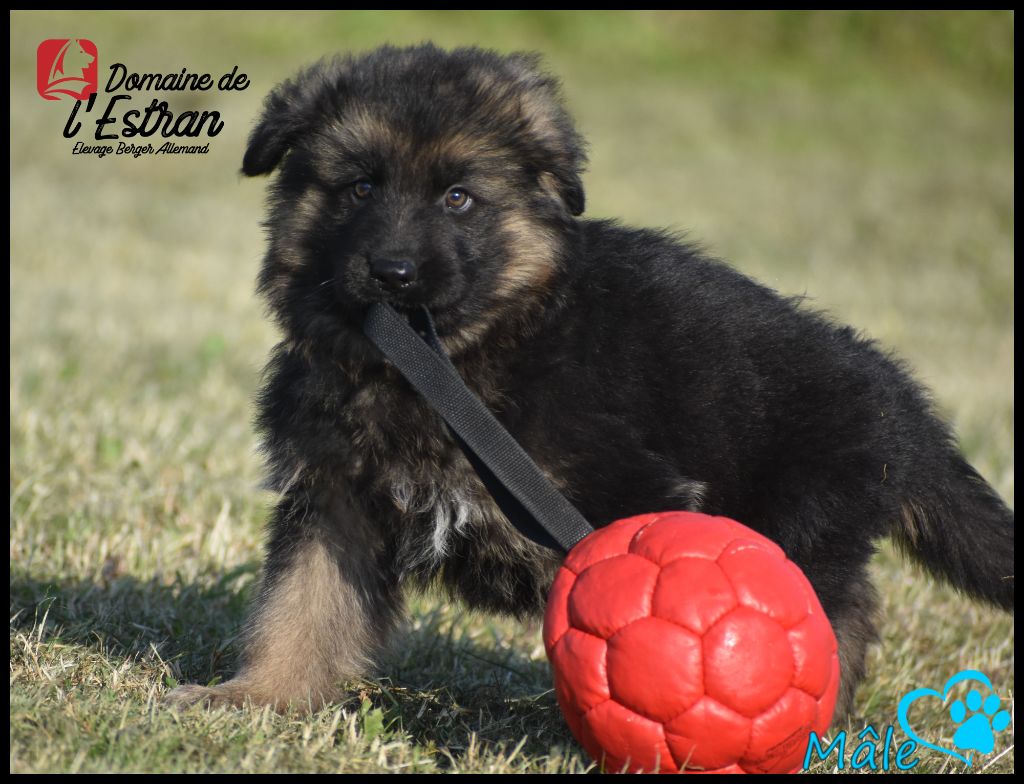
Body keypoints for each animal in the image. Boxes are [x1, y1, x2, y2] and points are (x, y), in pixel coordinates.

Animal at [167, 45, 1014, 723]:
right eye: (360, 188)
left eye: (458, 198)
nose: (393, 274)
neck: (458, 358)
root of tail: (901, 407)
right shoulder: (335, 501)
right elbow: (300, 607)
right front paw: (258, 696)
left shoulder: (633, 498)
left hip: (799, 527)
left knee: (829, 622)